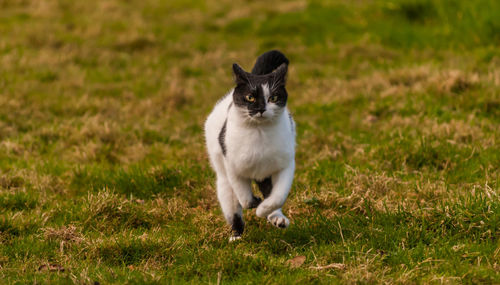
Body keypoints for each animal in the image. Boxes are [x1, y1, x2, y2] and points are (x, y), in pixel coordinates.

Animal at [204, 50, 294, 240]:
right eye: (250, 97)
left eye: (273, 97)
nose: (261, 109)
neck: (259, 134)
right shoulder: (232, 168)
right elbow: (244, 198)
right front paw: (255, 203)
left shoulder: (285, 165)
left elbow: (277, 197)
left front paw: (264, 211)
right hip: (222, 176)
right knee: (232, 203)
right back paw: (236, 235)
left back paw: (277, 218)